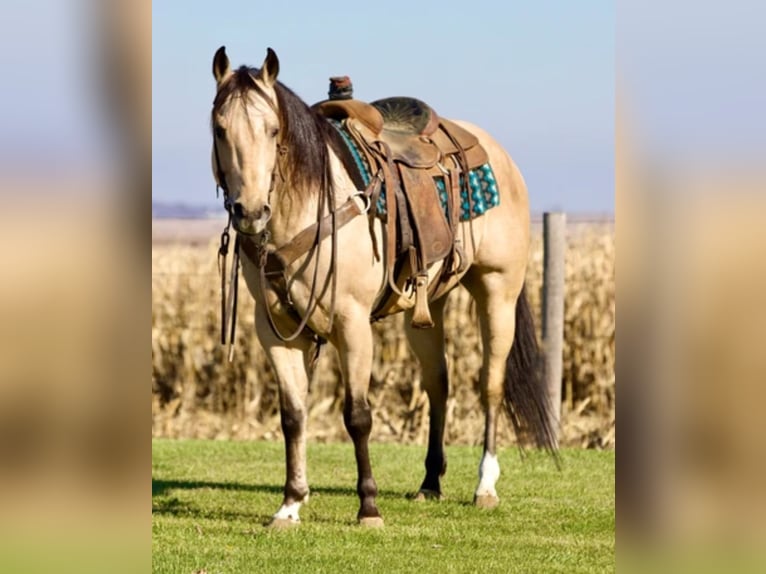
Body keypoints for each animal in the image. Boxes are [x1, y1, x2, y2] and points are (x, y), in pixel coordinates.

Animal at [210, 47, 560, 528]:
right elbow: (293, 416)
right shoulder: (275, 329)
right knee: (438, 385)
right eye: (220, 128)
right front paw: (290, 504)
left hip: (497, 290)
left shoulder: (352, 323)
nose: (250, 211)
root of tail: (496, 152)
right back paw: (430, 483)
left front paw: (368, 507)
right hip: (428, 307)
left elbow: (357, 415)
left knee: (490, 383)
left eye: (273, 129)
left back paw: (485, 485)